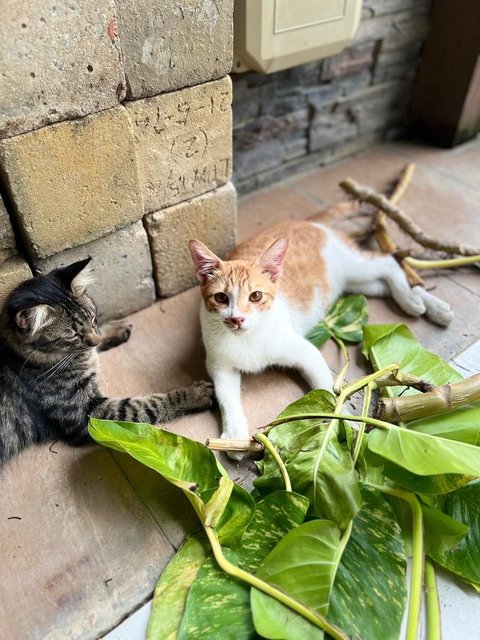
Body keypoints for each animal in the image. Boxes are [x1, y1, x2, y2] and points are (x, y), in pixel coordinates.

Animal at [0, 258, 214, 468]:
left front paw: (113, 330)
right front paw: (193, 394)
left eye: (92, 317)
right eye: (73, 335)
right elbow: (146, 405)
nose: (94, 341)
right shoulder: (89, 414)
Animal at [188, 220, 454, 456]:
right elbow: (225, 395)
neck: (248, 337)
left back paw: (417, 302)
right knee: (383, 282)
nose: (237, 319)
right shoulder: (219, 364)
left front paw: (347, 422)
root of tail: (306, 221)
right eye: (221, 298)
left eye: (256, 296)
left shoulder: (307, 353)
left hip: (352, 266)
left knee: (387, 263)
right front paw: (234, 434)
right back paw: (424, 303)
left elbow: (327, 389)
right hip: (357, 283)